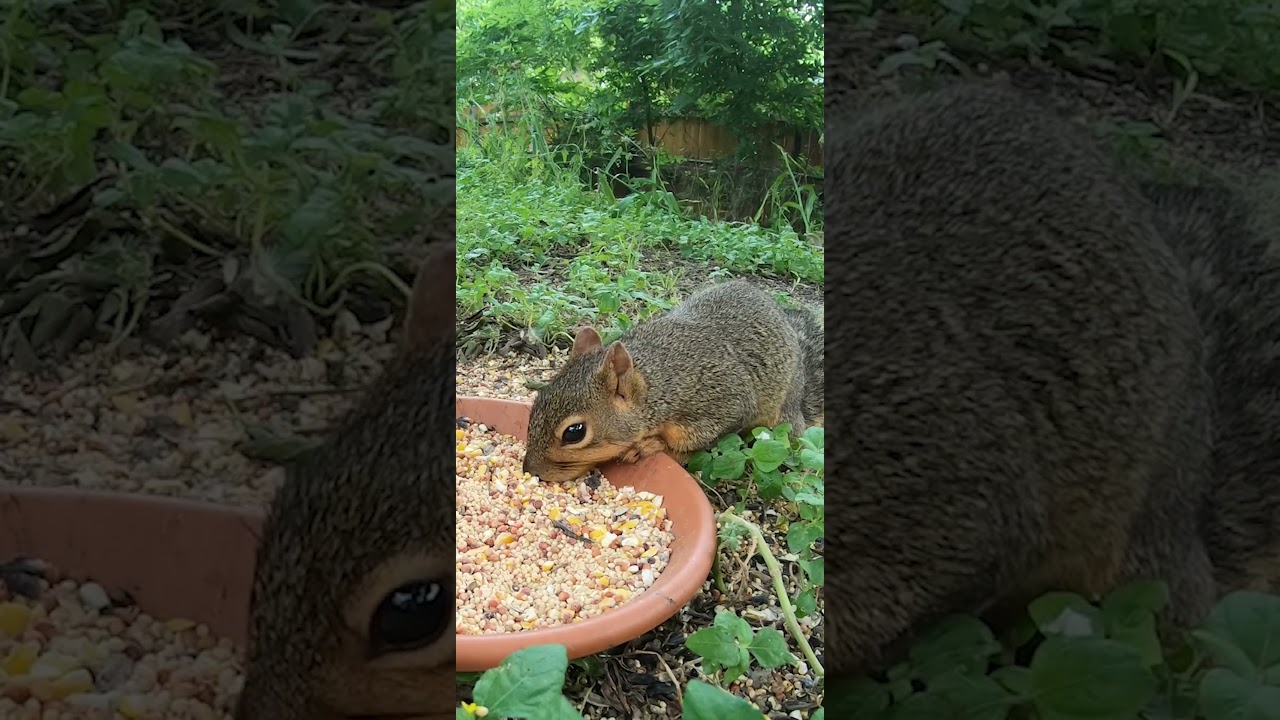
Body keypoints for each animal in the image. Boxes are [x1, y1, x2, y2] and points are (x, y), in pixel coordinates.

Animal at [522, 279, 824, 483]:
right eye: (538, 399)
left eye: (575, 432)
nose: (530, 470)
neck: (661, 381)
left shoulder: (722, 406)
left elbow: (691, 449)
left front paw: (650, 446)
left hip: (781, 417)